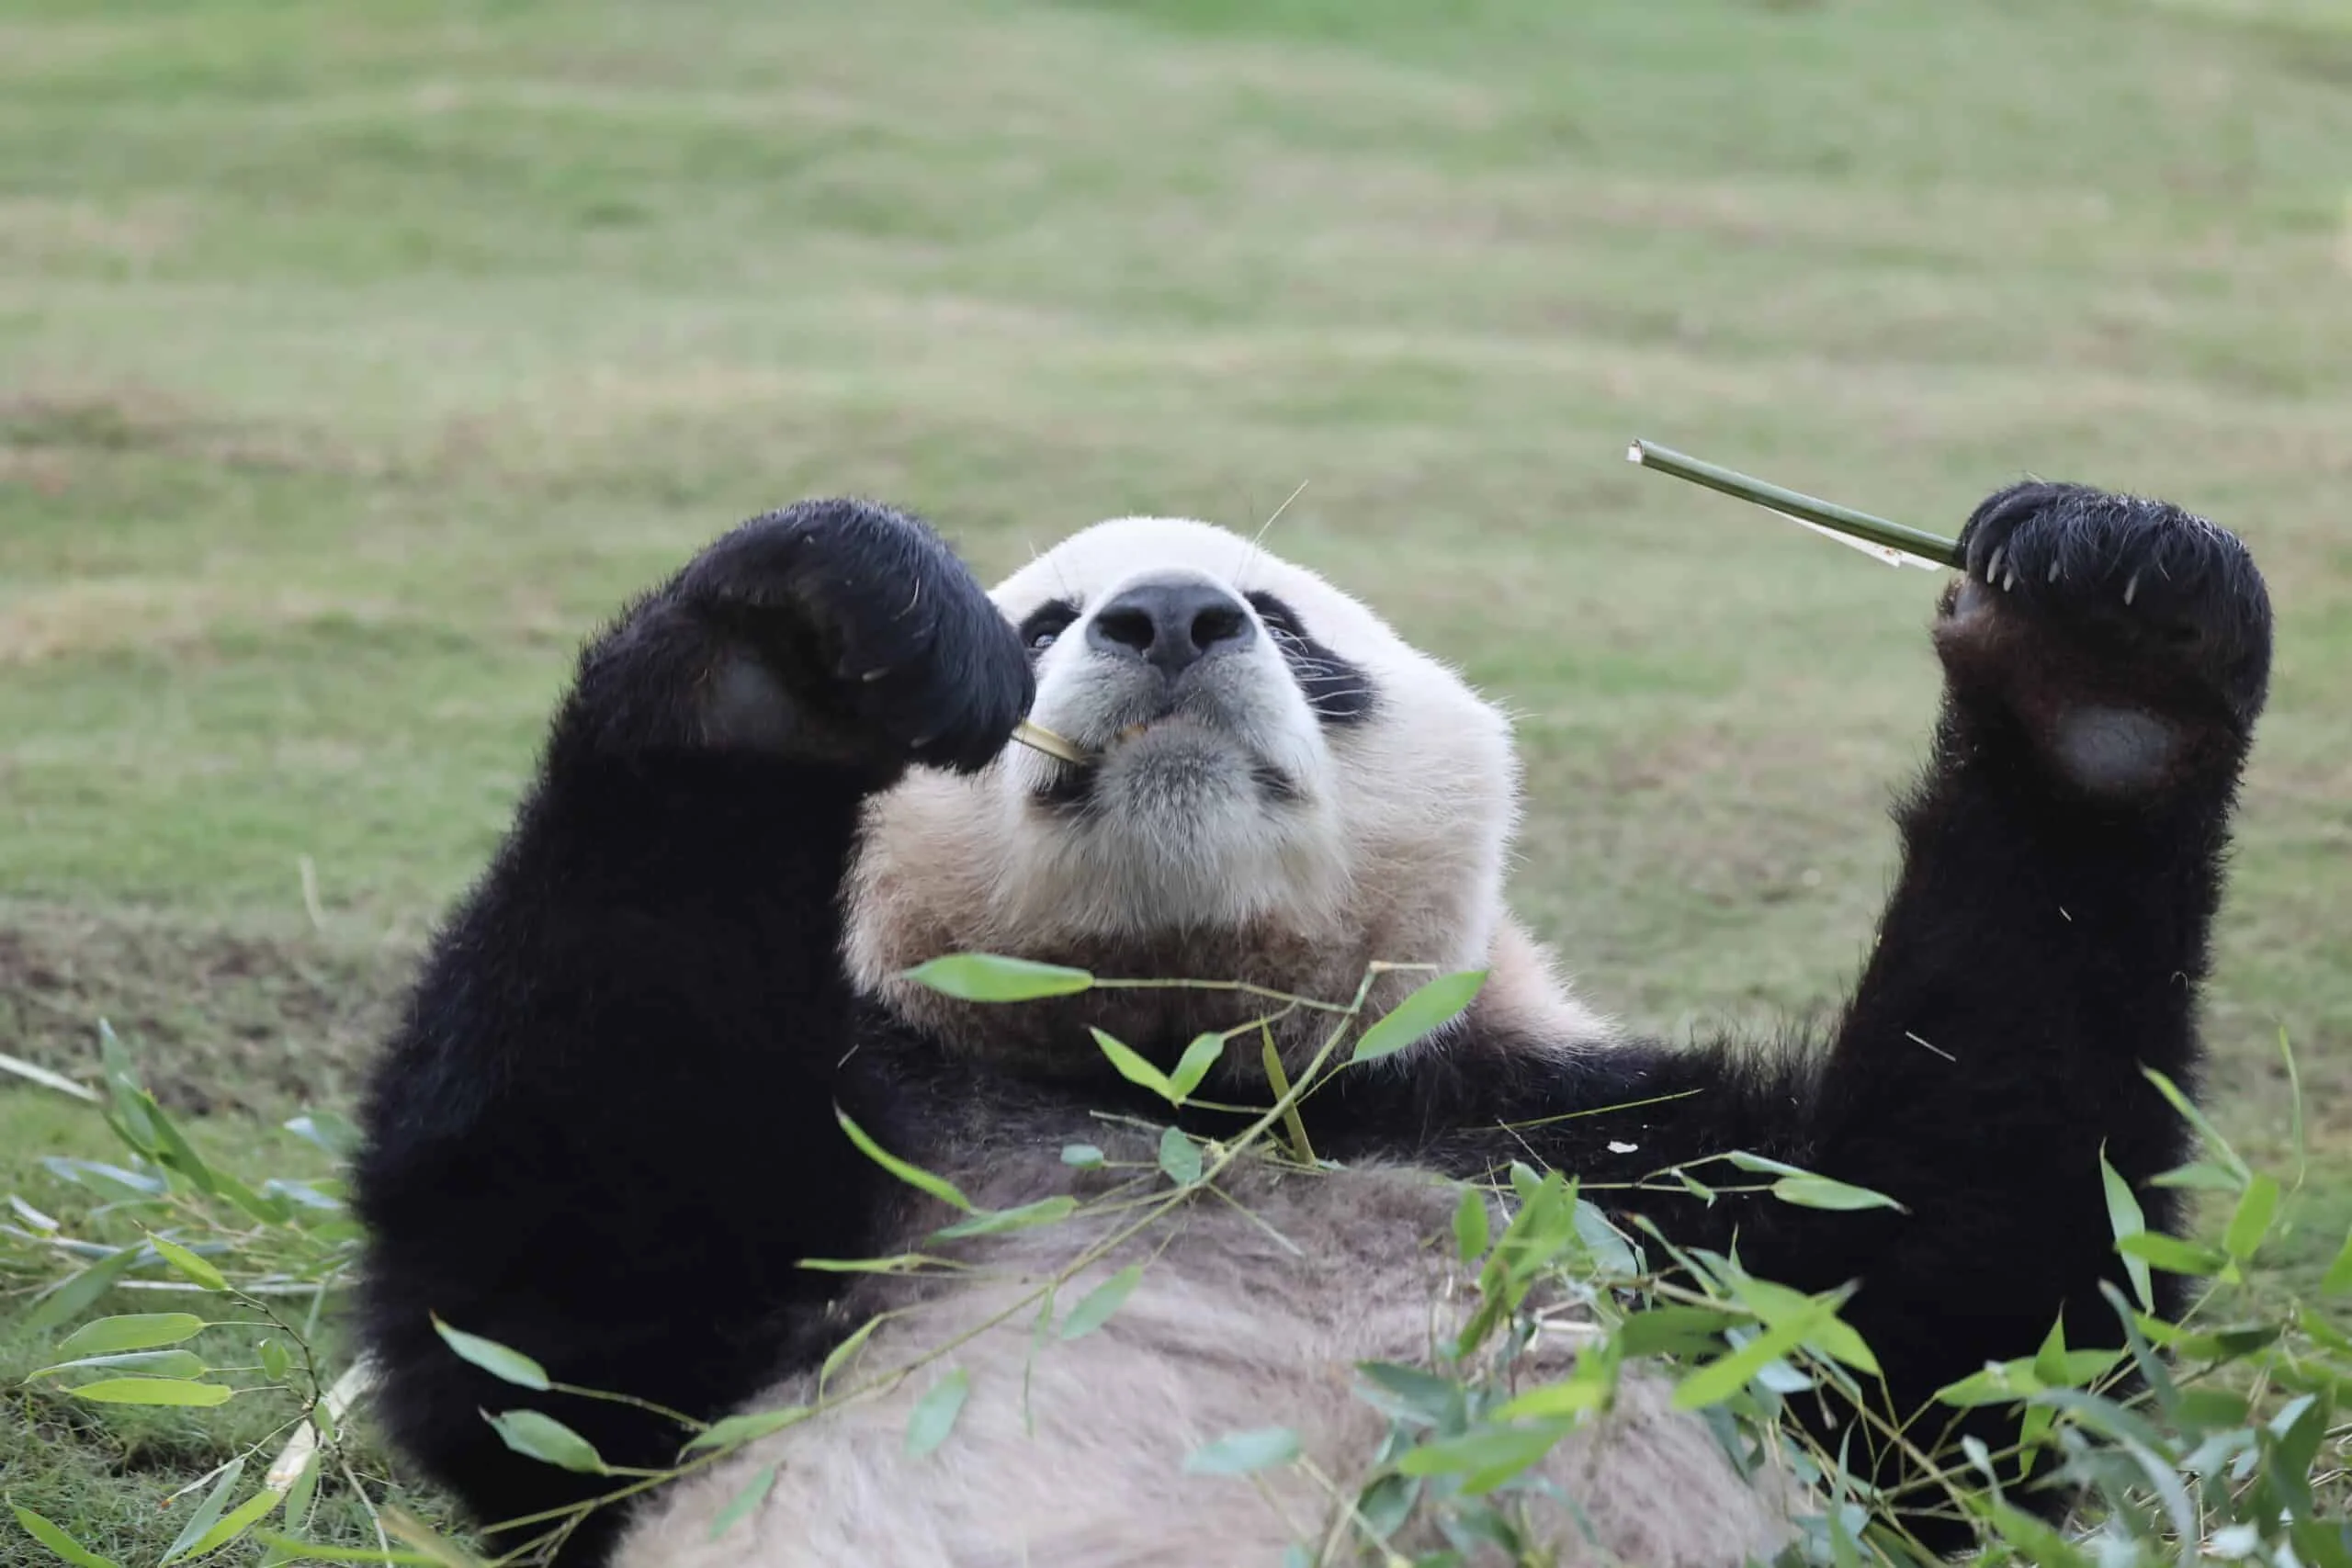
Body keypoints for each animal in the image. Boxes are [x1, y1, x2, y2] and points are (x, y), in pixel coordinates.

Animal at [350, 482, 2272, 1566]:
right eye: (1043, 619)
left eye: (1281, 622)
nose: (1172, 617)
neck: (1201, 1069)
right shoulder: (879, 1145)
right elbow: (560, 1291)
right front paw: (790, 652)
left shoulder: (1603, 1155)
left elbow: (1964, 1315)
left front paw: (2105, 645)